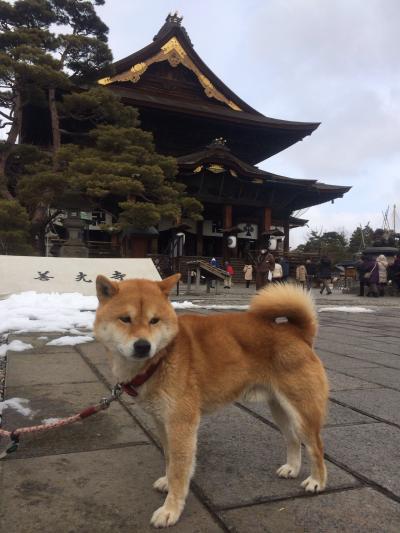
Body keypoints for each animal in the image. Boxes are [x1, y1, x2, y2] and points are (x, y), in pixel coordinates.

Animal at [94, 276, 328, 524]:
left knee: (316, 446)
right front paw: (167, 482)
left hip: (303, 412)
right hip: (280, 410)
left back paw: (317, 481)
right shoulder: (162, 422)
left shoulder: (181, 424)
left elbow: (179, 470)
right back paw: (292, 469)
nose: (142, 345)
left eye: (154, 320)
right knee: (293, 439)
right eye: (125, 319)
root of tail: (298, 333)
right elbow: (169, 459)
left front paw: (170, 509)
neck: (161, 358)